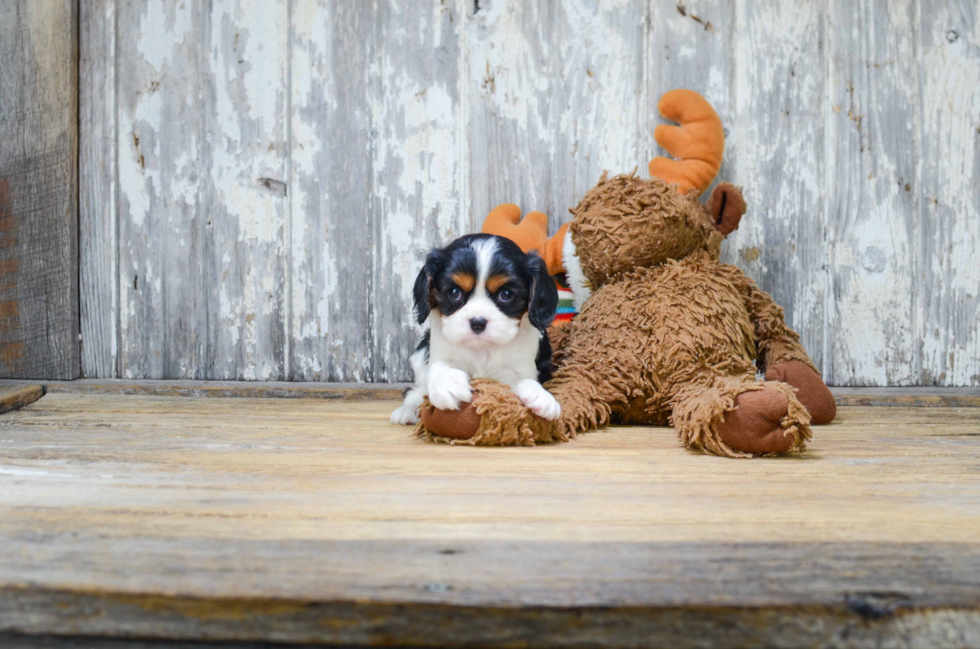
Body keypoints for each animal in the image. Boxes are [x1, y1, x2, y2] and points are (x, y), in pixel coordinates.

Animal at [390, 233, 560, 426]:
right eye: (454, 292)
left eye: (506, 294)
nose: (478, 322)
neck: (481, 349)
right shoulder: (438, 351)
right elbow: (439, 364)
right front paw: (447, 383)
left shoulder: (518, 368)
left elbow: (523, 379)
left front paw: (540, 395)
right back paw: (408, 410)